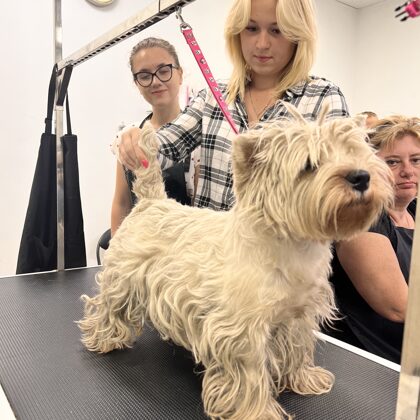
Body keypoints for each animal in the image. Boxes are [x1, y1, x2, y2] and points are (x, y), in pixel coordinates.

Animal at [78, 106, 393, 420]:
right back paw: (103, 338)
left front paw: (304, 378)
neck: (291, 245)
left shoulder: (298, 316)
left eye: (356, 153)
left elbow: (299, 349)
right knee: (107, 307)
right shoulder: (241, 330)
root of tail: (151, 201)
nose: (361, 177)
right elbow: (250, 376)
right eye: (309, 164)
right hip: (121, 278)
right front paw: (257, 411)